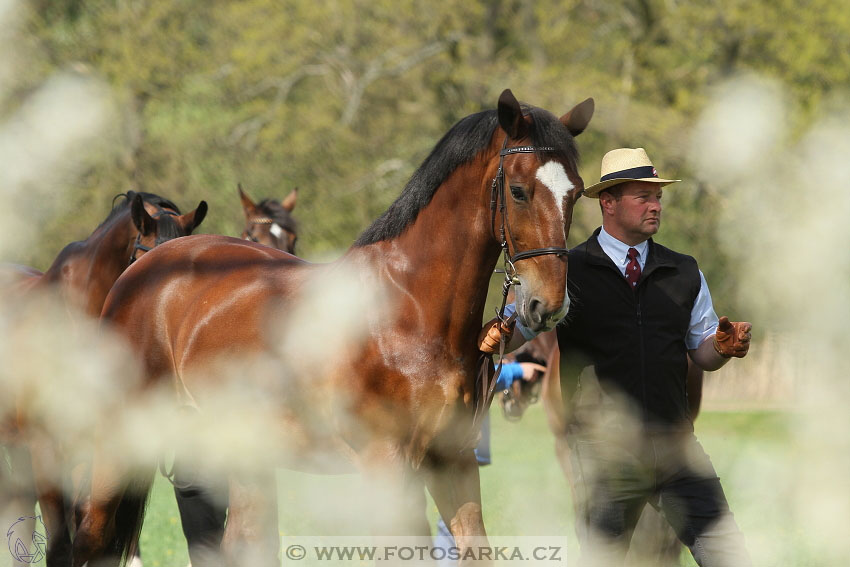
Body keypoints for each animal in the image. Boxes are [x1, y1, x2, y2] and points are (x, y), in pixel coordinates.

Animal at [76, 91, 592, 564]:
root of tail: (140, 272)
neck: (410, 309)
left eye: (575, 191)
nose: (547, 305)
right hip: (121, 444)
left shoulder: (454, 463)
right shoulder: (387, 467)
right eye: (519, 191)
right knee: (91, 536)